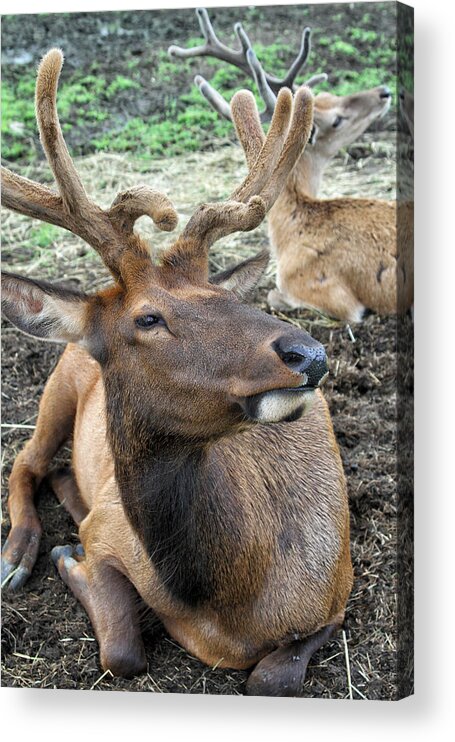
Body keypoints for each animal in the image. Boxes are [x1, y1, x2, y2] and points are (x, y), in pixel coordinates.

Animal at [0, 50, 354, 696]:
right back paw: (18, 557)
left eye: (224, 294)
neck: (221, 609)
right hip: (57, 384)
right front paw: (67, 559)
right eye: (148, 317)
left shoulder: (336, 594)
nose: (308, 355)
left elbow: (271, 680)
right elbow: (121, 650)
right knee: (26, 459)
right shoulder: (108, 533)